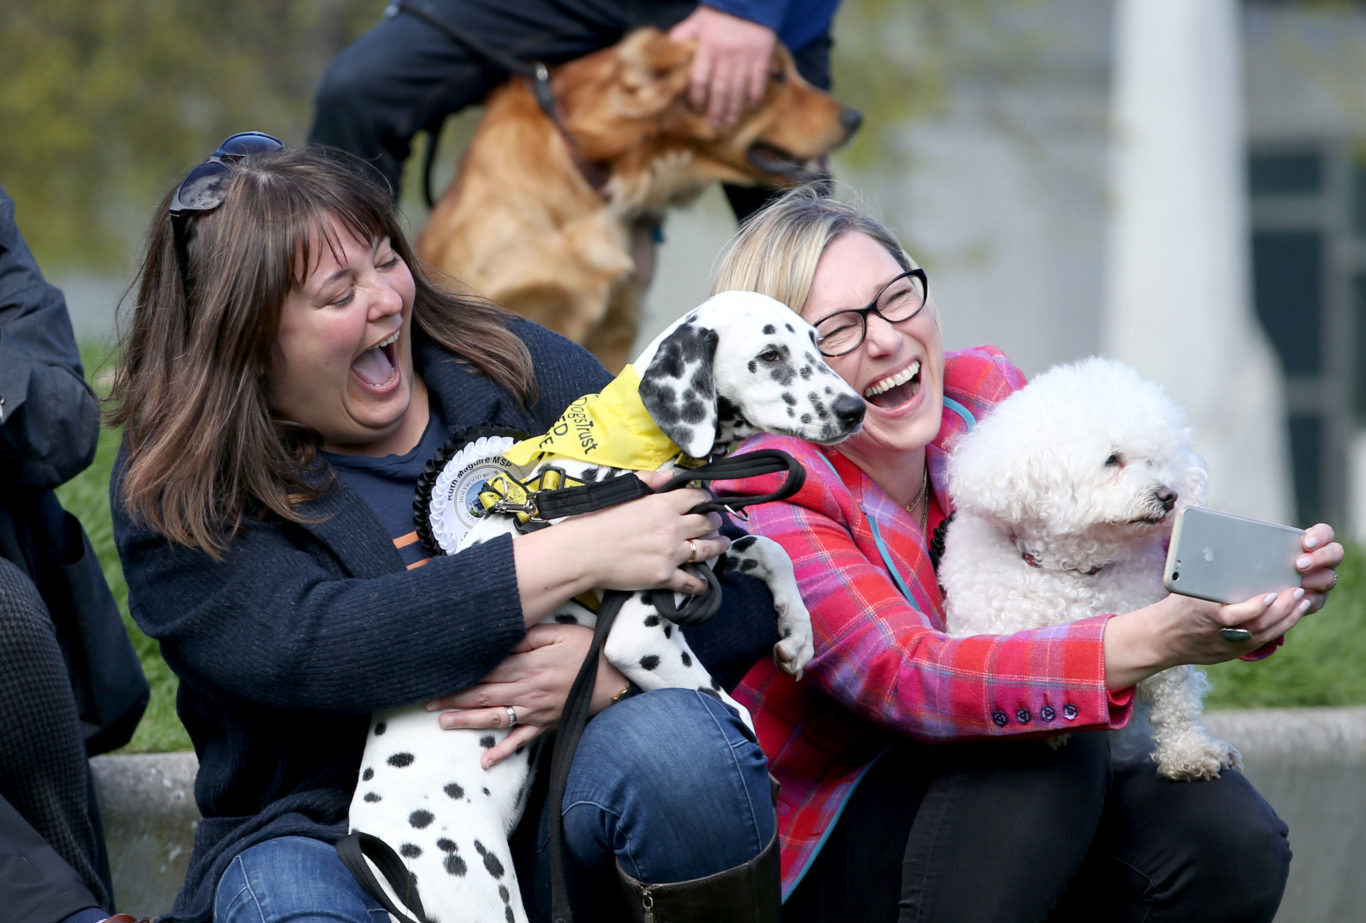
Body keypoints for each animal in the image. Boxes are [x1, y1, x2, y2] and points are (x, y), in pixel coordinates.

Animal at [349, 290, 863, 923]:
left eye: (817, 341)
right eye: (769, 355)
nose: (855, 409)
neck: (634, 451)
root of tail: (377, 857)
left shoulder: (699, 563)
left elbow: (772, 551)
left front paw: (797, 633)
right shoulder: (639, 635)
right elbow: (728, 706)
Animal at [939, 357, 1240, 781]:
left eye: (1154, 460)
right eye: (1112, 459)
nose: (1169, 495)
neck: (1073, 571)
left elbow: (1175, 697)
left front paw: (1191, 753)